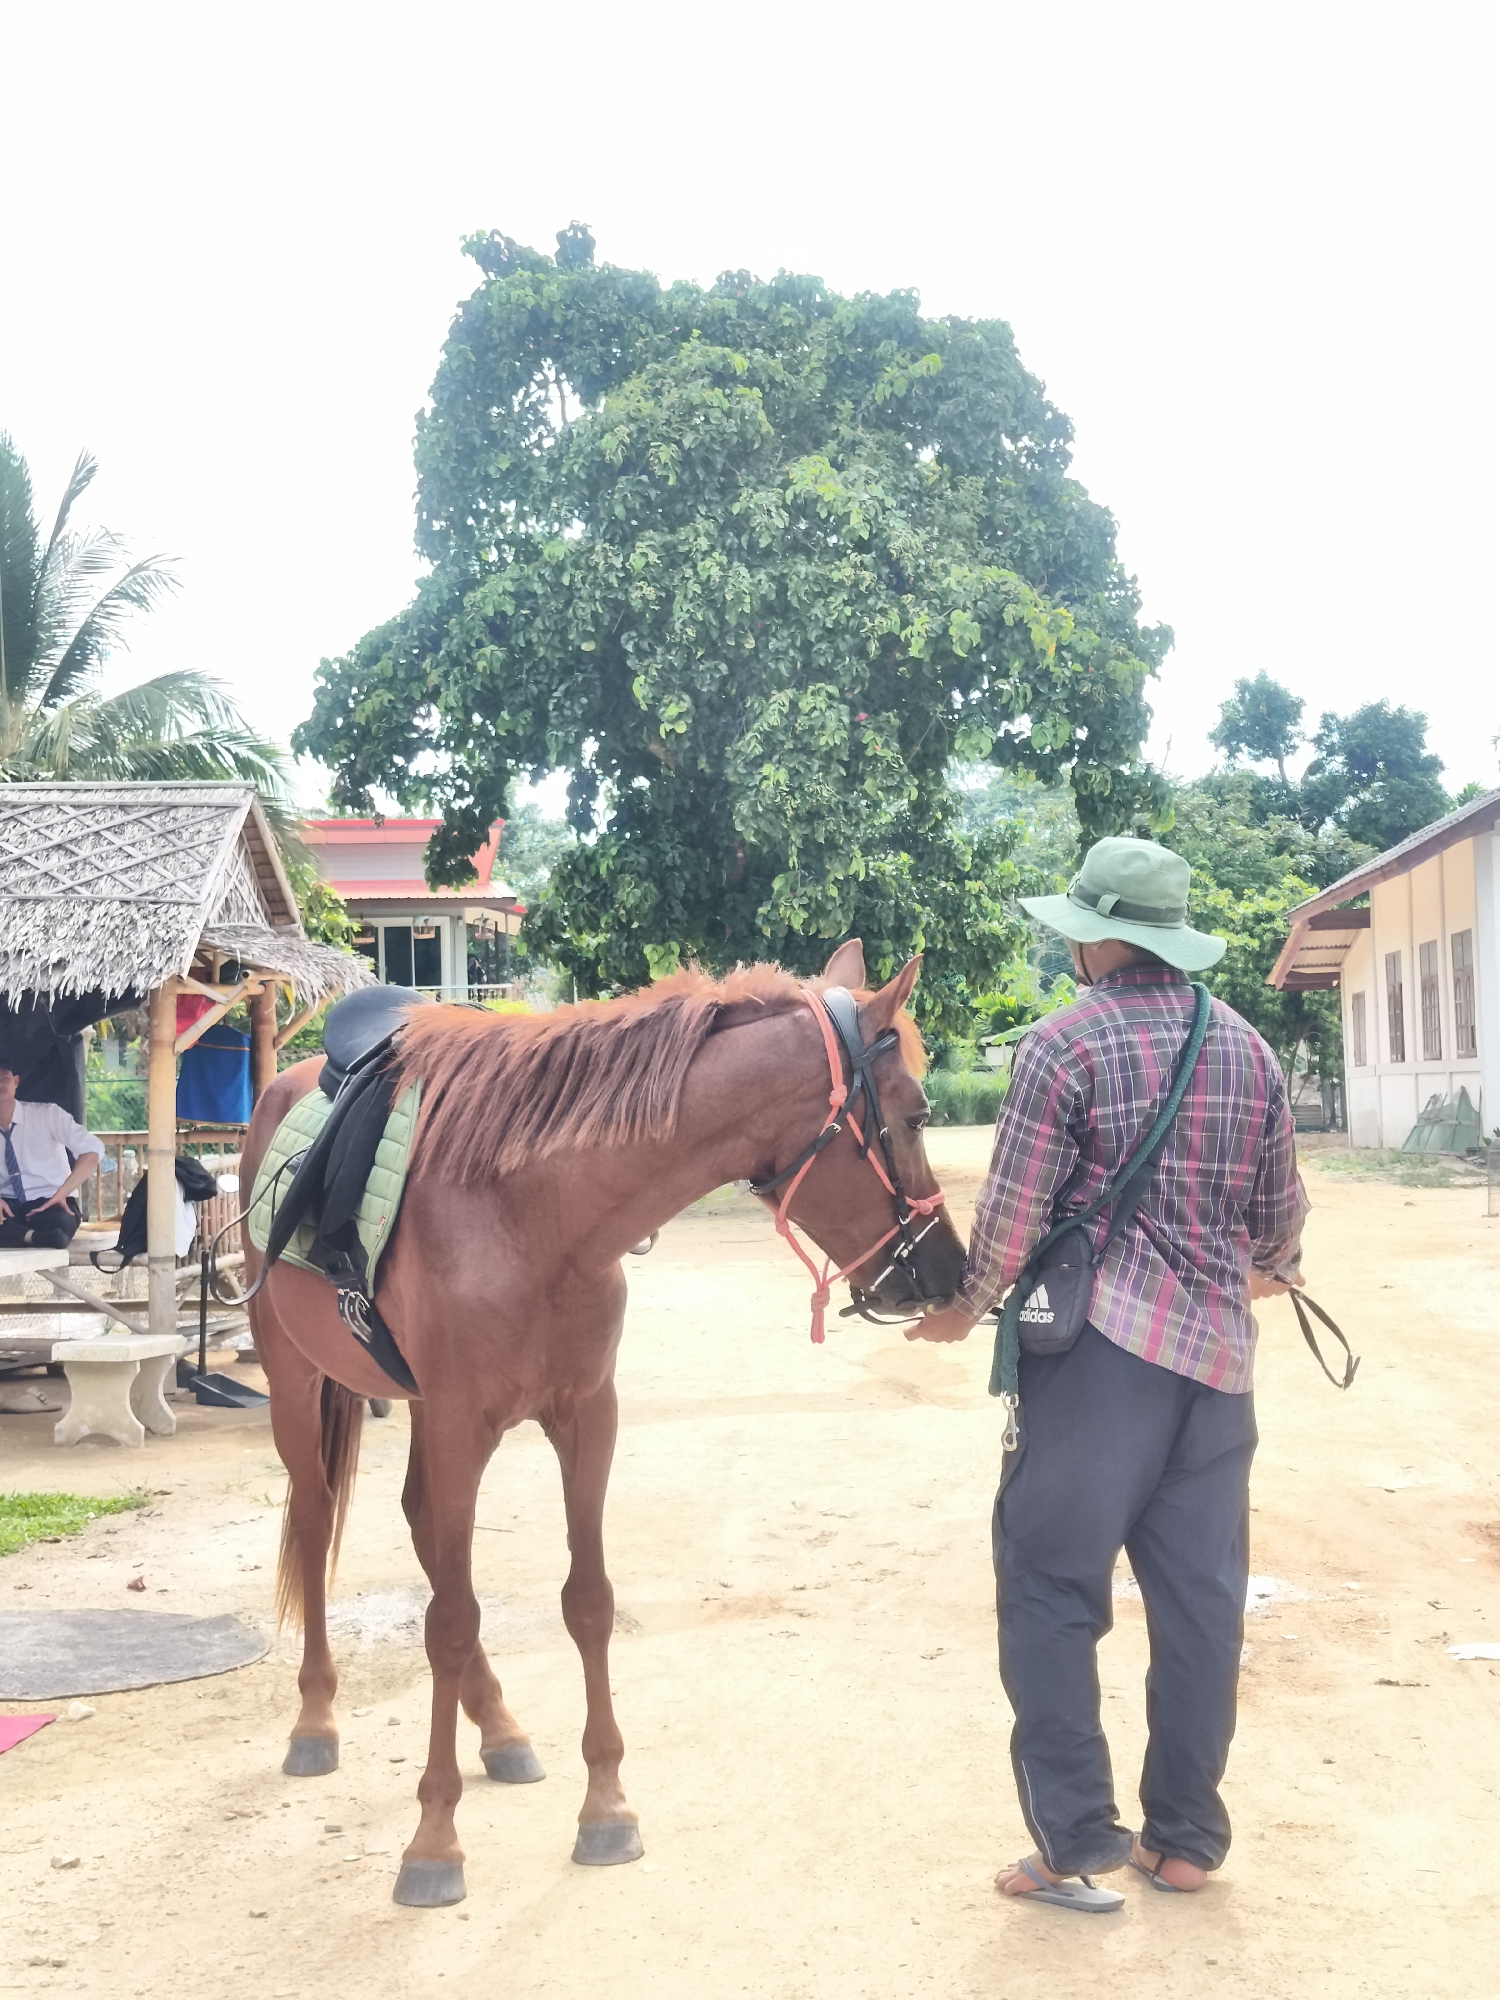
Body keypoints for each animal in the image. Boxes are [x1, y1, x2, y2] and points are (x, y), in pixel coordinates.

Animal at [241, 939, 966, 1907]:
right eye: (916, 1115)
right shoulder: (462, 1422)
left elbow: (585, 1603)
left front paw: (606, 1807)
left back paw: (500, 1728)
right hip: (296, 1381)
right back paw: (317, 1719)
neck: (536, 1209)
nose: (950, 1274)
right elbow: (448, 1620)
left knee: (422, 1525)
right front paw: (434, 1841)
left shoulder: (586, 1417)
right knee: (320, 1520)